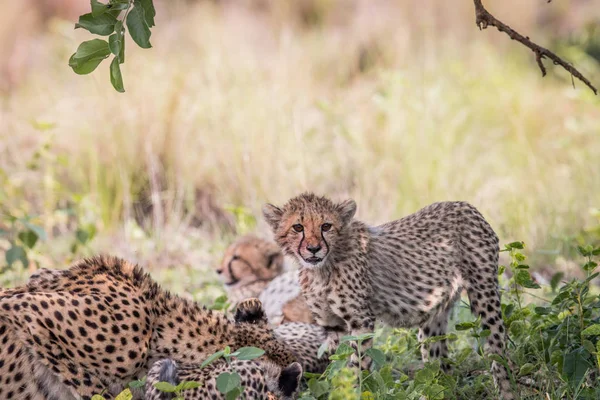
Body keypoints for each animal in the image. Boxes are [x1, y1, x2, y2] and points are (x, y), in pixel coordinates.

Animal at [264, 192, 516, 398]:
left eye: (326, 226)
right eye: (298, 227)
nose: (314, 249)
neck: (322, 269)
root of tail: (464, 205)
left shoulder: (360, 321)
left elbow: (356, 365)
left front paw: (352, 390)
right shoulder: (333, 326)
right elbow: (338, 364)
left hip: (484, 294)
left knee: (497, 349)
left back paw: (505, 389)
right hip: (434, 315)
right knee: (438, 363)